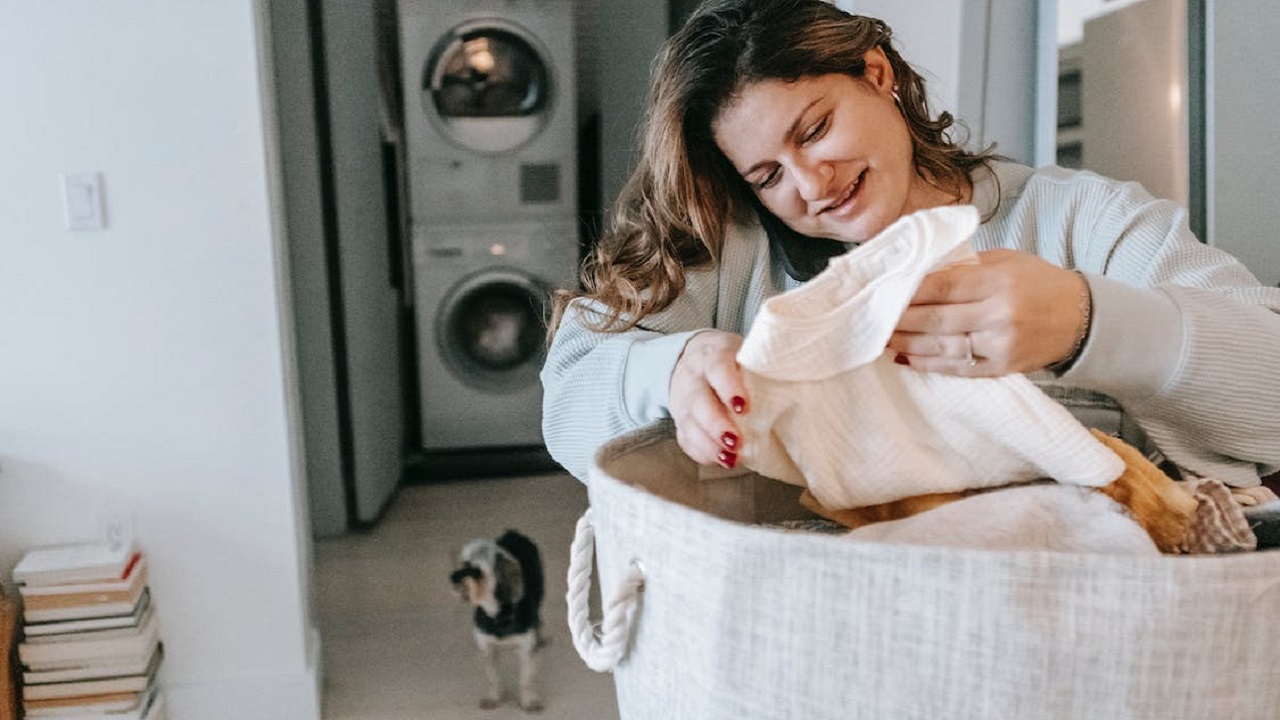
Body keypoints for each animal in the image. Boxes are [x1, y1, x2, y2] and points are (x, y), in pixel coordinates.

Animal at [450, 525, 545, 707]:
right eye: (464, 563)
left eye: (476, 571)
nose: (451, 577)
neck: (497, 615)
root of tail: (513, 533)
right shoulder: (486, 648)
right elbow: (493, 677)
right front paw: (493, 697)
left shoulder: (525, 648)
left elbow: (526, 679)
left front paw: (529, 701)